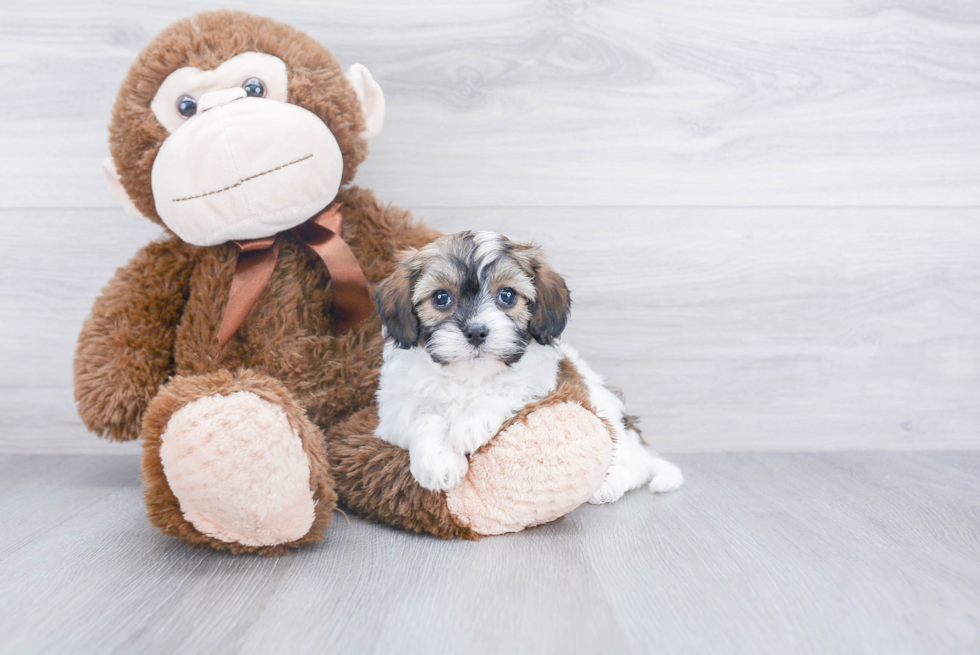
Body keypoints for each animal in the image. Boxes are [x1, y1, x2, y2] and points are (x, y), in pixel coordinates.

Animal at [372, 231, 684, 502]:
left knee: (634, 465)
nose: (475, 331)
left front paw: (470, 424)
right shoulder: (393, 414)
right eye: (440, 297)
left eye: (507, 295)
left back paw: (609, 485)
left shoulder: (541, 384)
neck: (471, 376)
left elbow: (506, 390)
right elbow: (424, 415)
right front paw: (437, 463)